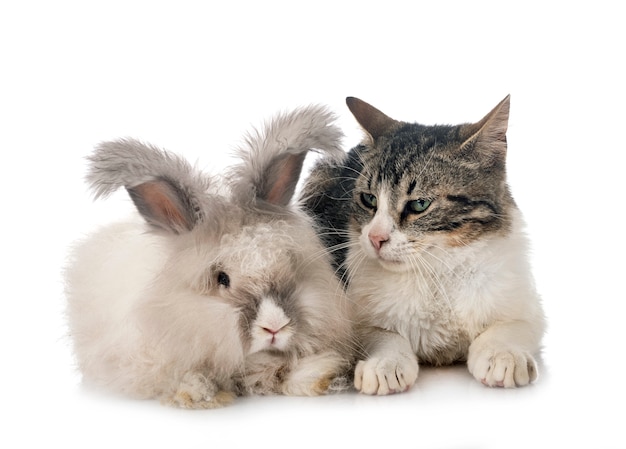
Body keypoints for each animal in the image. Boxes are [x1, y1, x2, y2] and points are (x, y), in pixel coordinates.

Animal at [300, 94, 544, 392]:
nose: (375, 238)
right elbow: (381, 334)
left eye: (419, 204)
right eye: (369, 199)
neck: (436, 271)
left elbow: (510, 327)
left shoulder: (526, 305)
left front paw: (503, 355)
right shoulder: (351, 314)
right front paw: (384, 364)